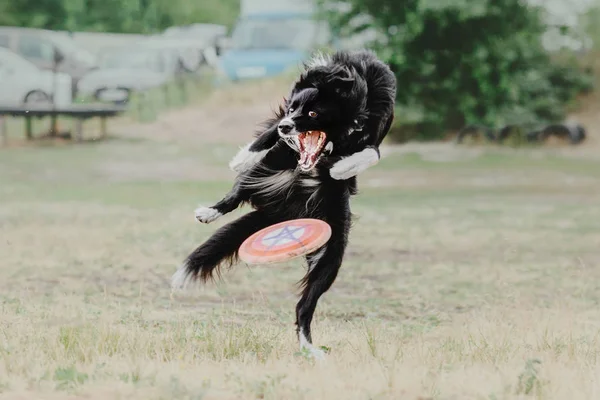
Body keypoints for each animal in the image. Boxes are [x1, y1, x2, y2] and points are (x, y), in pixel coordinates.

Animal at [172, 50, 398, 360]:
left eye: (313, 113)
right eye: (293, 108)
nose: (287, 126)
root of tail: (287, 213)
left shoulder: (375, 128)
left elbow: (371, 153)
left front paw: (342, 168)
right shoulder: (279, 138)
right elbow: (265, 137)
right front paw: (243, 157)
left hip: (331, 254)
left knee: (305, 306)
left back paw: (309, 347)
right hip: (271, 172)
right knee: (239, 190)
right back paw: (210, 211)